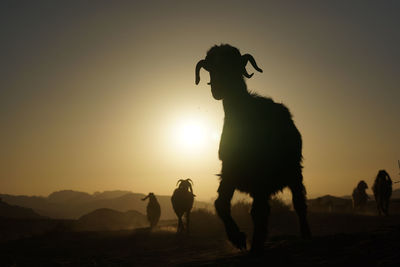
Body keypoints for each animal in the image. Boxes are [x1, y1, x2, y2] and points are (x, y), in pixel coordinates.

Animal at [195, 44, 310, 253]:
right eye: (211, 68)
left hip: (294, 171)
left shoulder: (261, 176)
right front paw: (238, 238)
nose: (218, 89)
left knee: (298, 203)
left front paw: (254, 243)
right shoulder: (229, 171)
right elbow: (221, 203)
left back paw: (305, 235)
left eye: (234, 65)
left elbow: (258, 211)